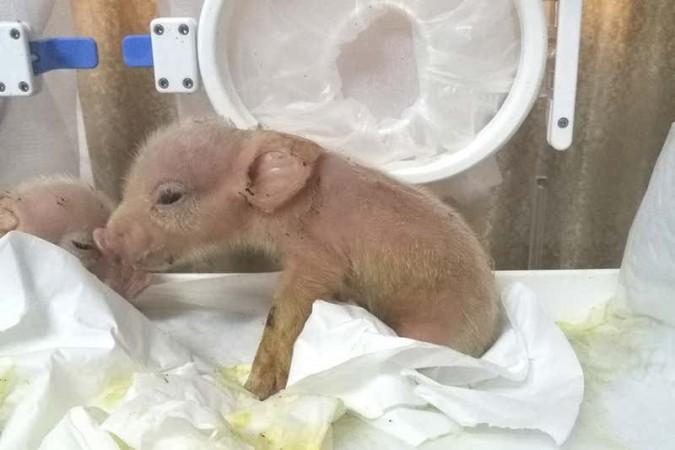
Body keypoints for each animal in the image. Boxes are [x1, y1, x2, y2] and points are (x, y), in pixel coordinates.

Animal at [94, 117, 502, 399]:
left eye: (170, 197)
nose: (102, 236)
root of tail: (491, 328)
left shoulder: (317, 257)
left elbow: (287, 311)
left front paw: (254, 390)